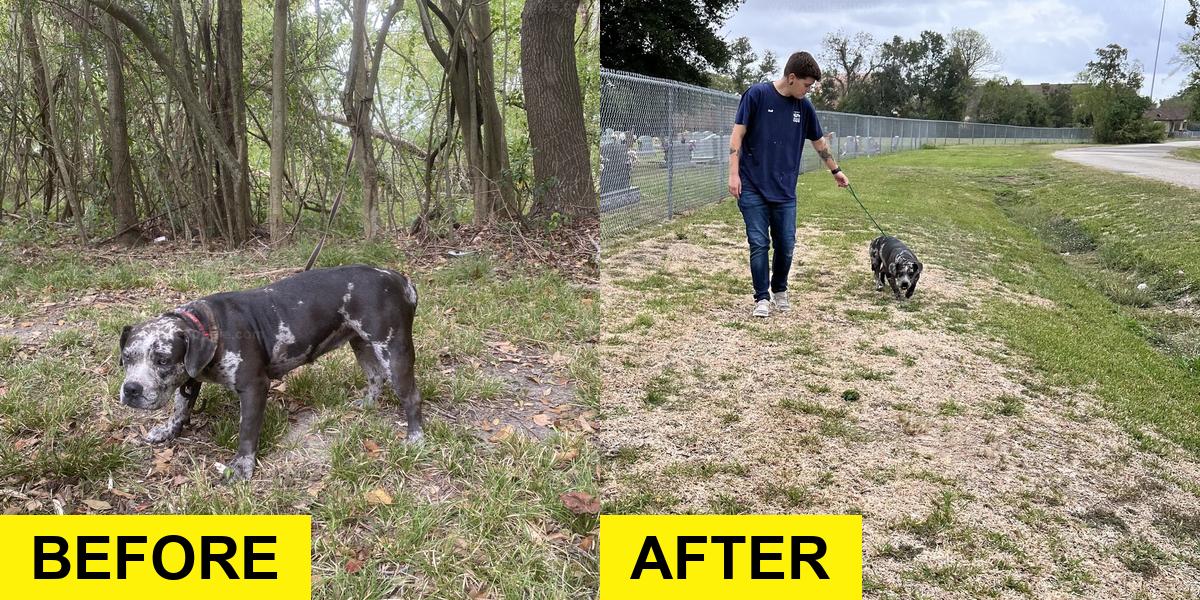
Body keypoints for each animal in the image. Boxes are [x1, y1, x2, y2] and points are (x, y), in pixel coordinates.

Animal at [117, 265, 424, 480]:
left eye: (163, 360)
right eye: (126, 358)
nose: (131, 389)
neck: (208, 327)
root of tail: (399, 279)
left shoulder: (254, 388)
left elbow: (247, 432)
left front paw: (242, 466)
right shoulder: (190, 380)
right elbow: (180, 407)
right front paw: (168, 430)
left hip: (393, 351)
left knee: (411, 396)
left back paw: (415, 437)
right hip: (361, 344)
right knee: (375, 377)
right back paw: (368, 405)